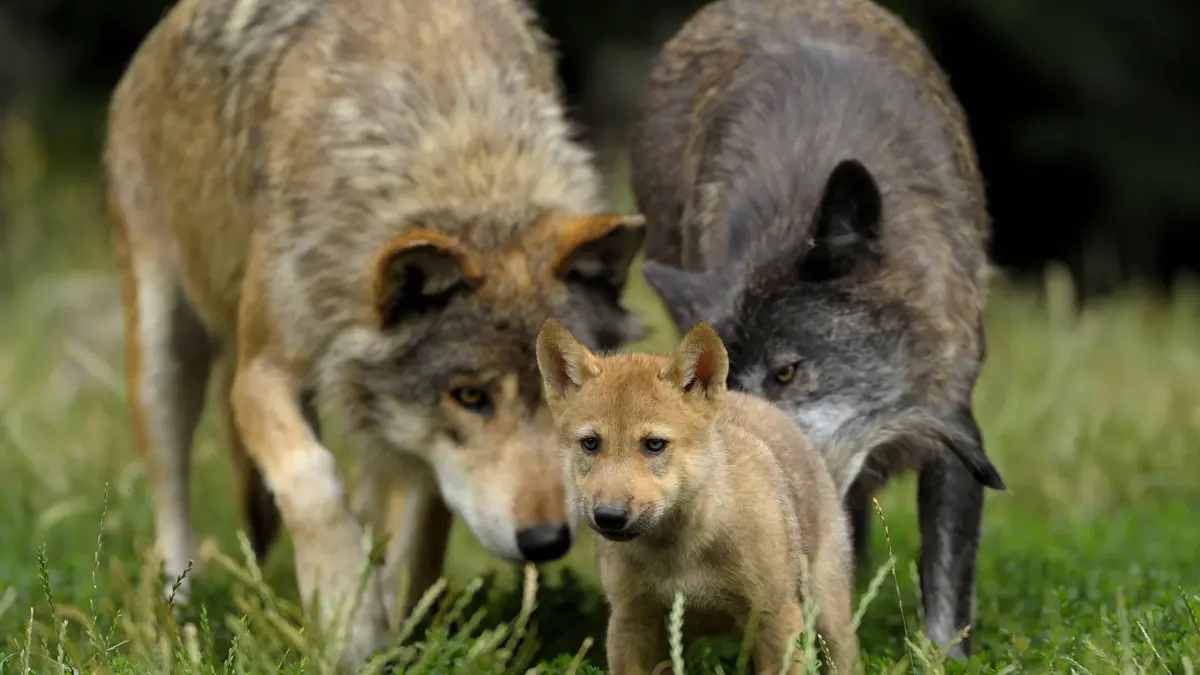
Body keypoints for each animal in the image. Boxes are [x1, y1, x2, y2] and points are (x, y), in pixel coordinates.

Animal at [104, 0, 646, 664]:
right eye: (470, 396)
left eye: (563, 404)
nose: (545, 540)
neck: (463, 159)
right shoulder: (260, 375)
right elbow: (311, 477)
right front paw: (347, 619)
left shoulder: (414, 432)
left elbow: (418, 534)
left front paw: (396, 631)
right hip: (166, 360)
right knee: (172, 500)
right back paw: (180, 615)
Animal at [537, 319, 859, 674]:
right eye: (591, 444)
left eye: (654, 444)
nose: (609, 516)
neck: (677, 557)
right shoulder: (631, 621)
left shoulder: (775, 617)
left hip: (828, 616)